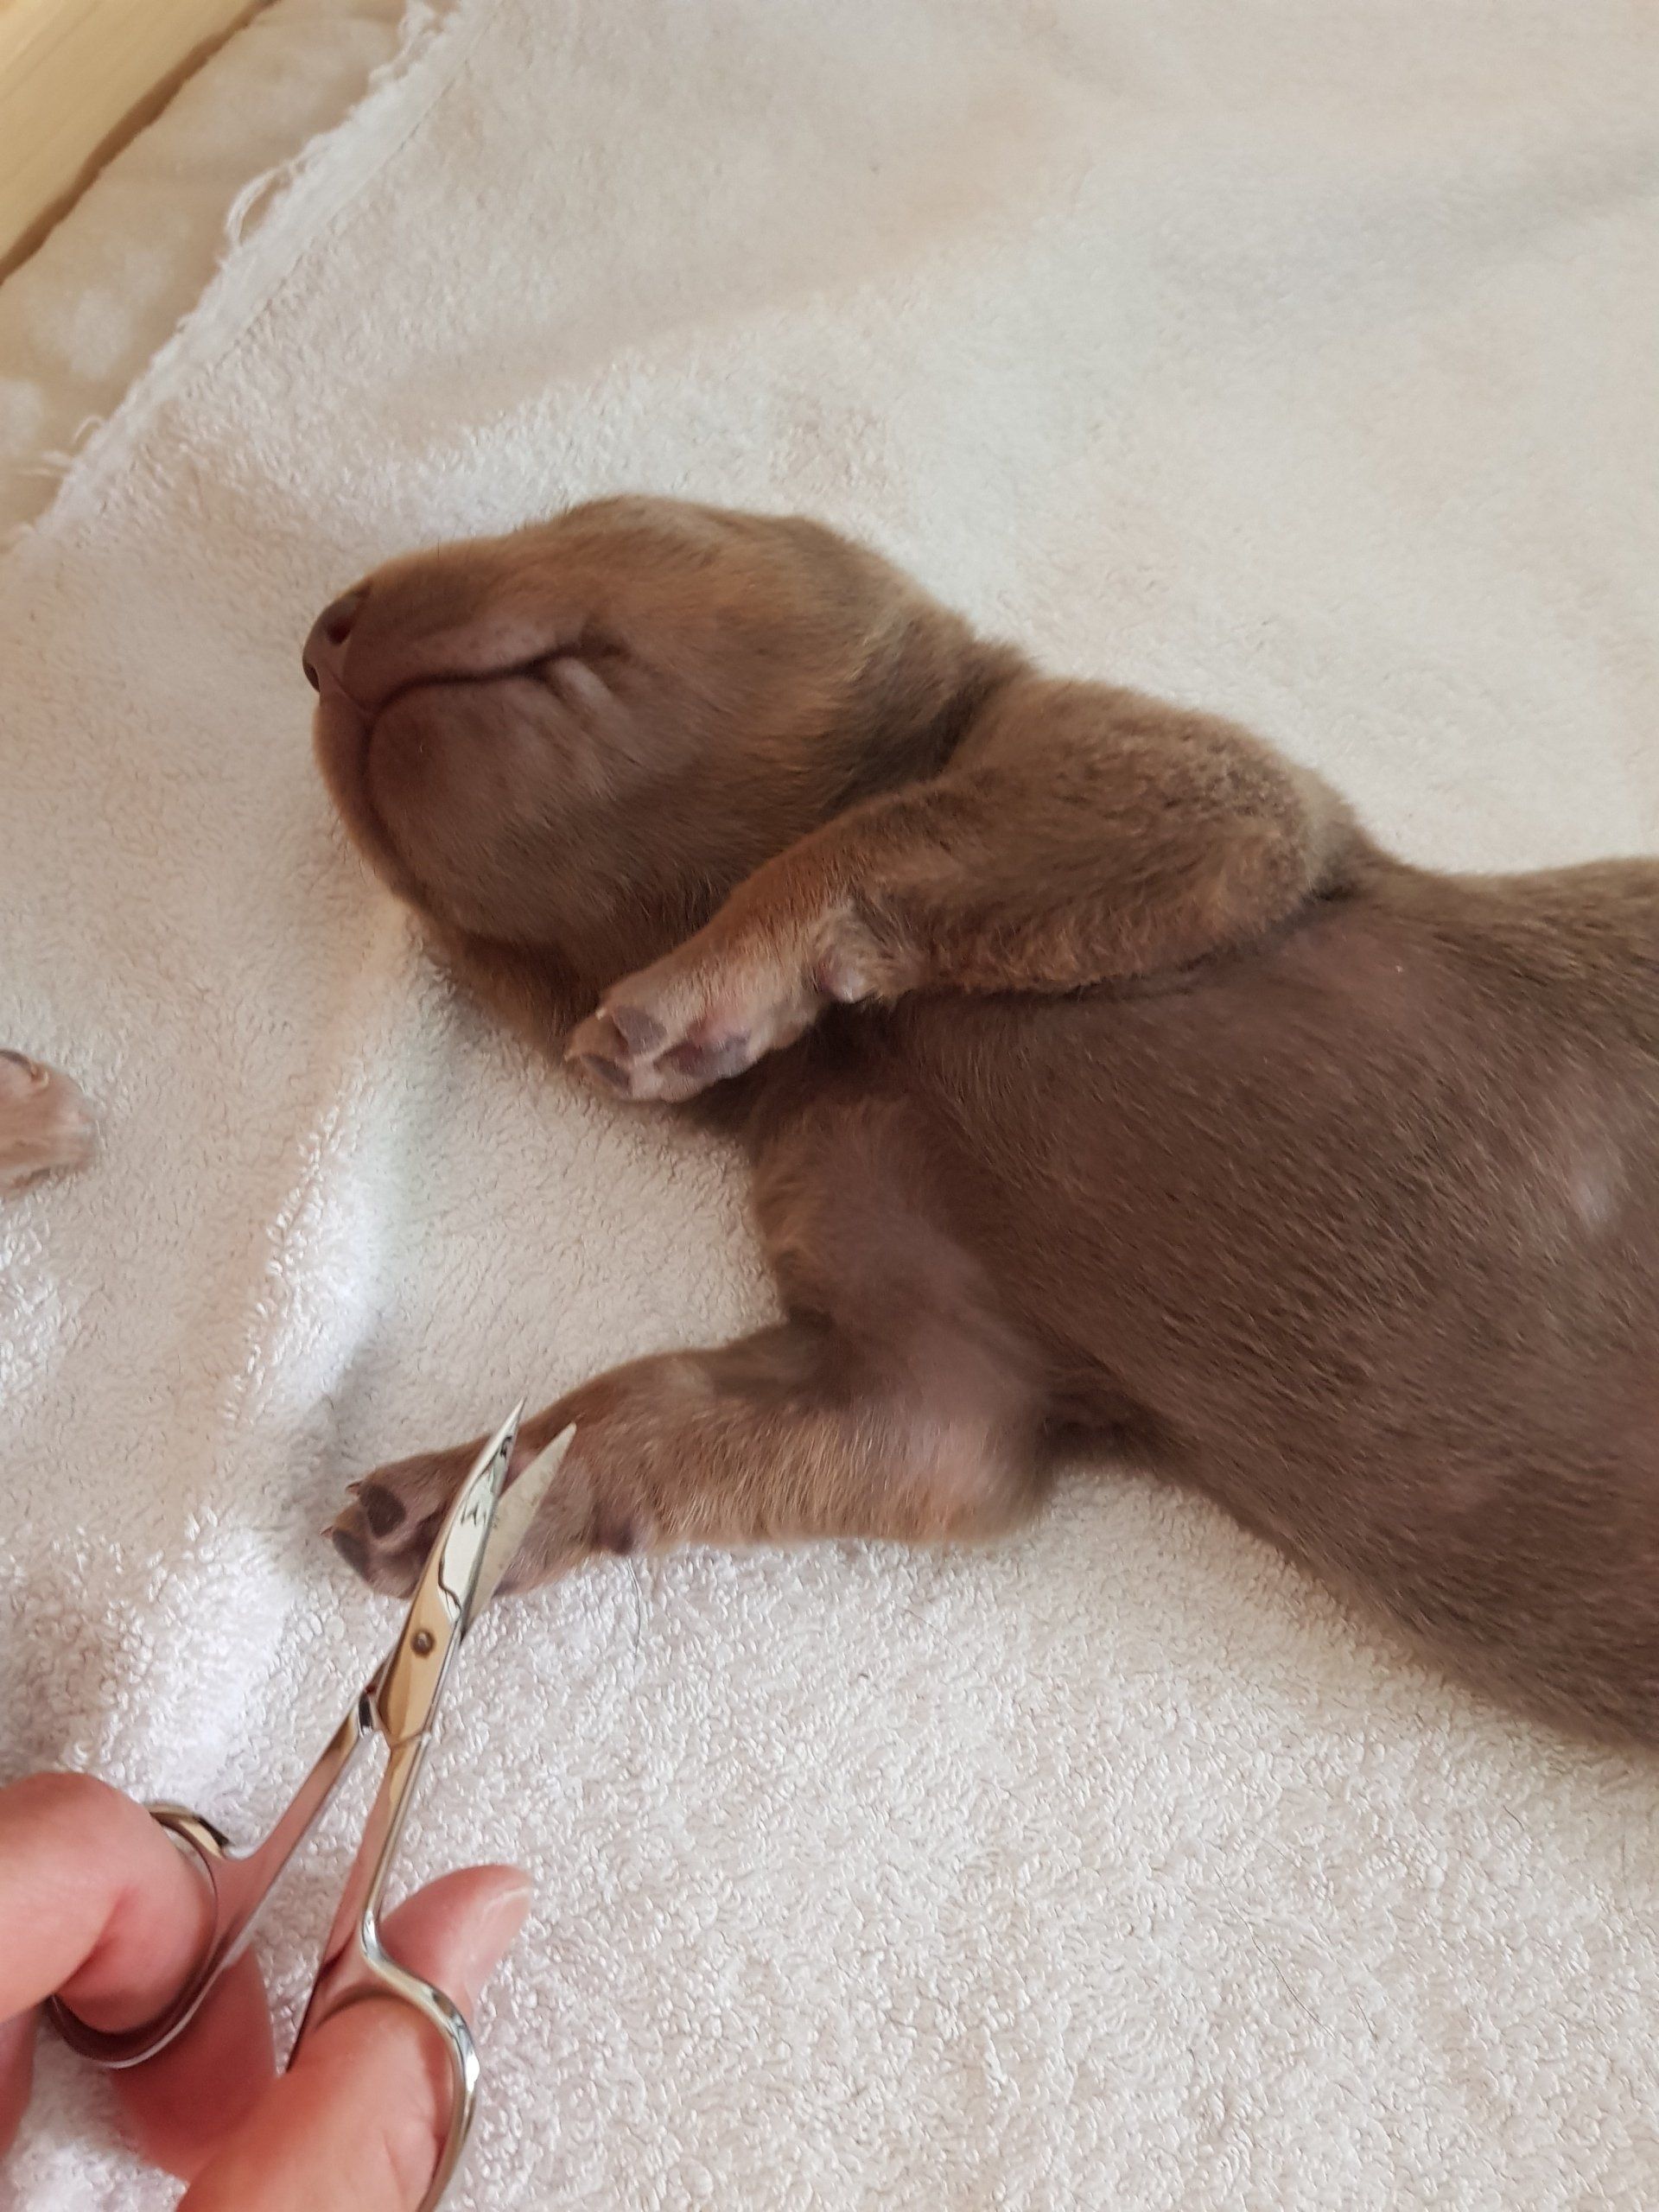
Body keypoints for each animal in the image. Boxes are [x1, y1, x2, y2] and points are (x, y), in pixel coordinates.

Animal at [309, 496, 1659, 1744]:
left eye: (593, 509)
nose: (318, 638)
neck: (861, 1044)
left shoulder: (1174, 779)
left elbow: (892, 830)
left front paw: (680, 1000)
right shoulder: (932, 1349)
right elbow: (705, 1411)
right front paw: (457, 1503)